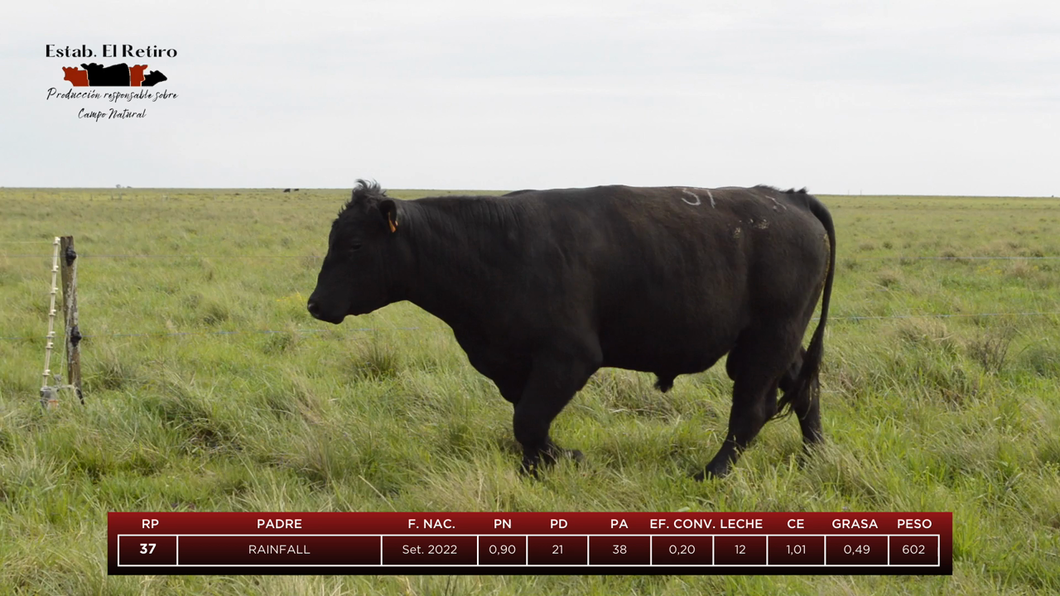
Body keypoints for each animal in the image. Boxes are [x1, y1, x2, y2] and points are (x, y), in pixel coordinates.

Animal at [307, 178, 835, 475]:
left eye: (354, 245)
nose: (315, 304)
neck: (492, 246)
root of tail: (789, 199)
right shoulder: (513, 363)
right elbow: (527, 421)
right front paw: (535, 468)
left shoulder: (569, 355)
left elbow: (529, 420)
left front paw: (564, 460)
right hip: (778, 342)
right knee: (804, 392)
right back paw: (817, 457)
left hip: (766, 339)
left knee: (752, 410)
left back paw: (713, 473)